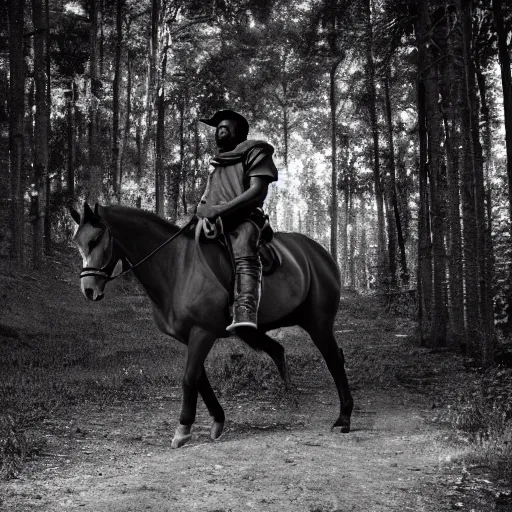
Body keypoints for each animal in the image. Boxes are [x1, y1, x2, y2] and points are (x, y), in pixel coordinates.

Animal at [70, 202, 354, 446]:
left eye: (94, 240)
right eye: (78, 243)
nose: (88, 290)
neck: (177, 268)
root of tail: (320, 253)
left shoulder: (203, 332)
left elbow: (189, 378)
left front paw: (183, 429)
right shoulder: (189, 337)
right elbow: (199, 378)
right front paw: (217, 420)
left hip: (319, 323)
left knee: (334, 359)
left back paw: (344, 418)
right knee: (282, 351)